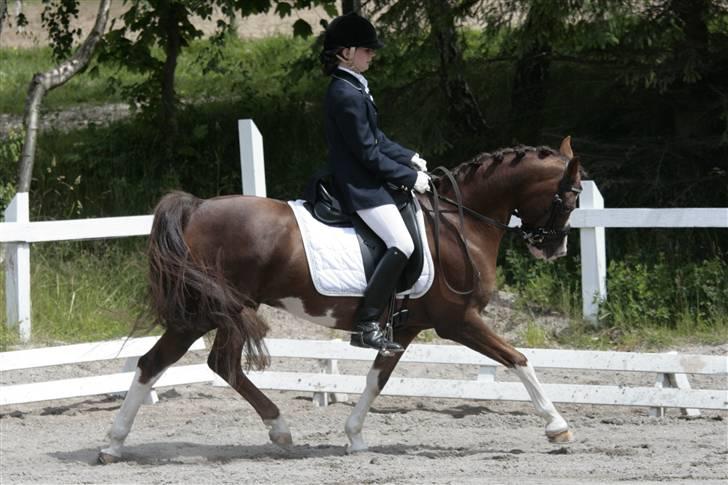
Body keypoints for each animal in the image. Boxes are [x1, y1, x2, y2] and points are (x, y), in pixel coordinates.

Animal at [99, 135, 584, 462]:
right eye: (571, 197)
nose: (555, 250)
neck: (455, 225)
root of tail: (197, 208)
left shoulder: (405, 326)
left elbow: (376, 380)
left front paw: (354, 436)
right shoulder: (458, 320)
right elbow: (519, 359)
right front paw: (558, 427)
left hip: (225, 311)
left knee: (211, 364)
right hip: (210, 311)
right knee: (165, 363)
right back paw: (115, 443)